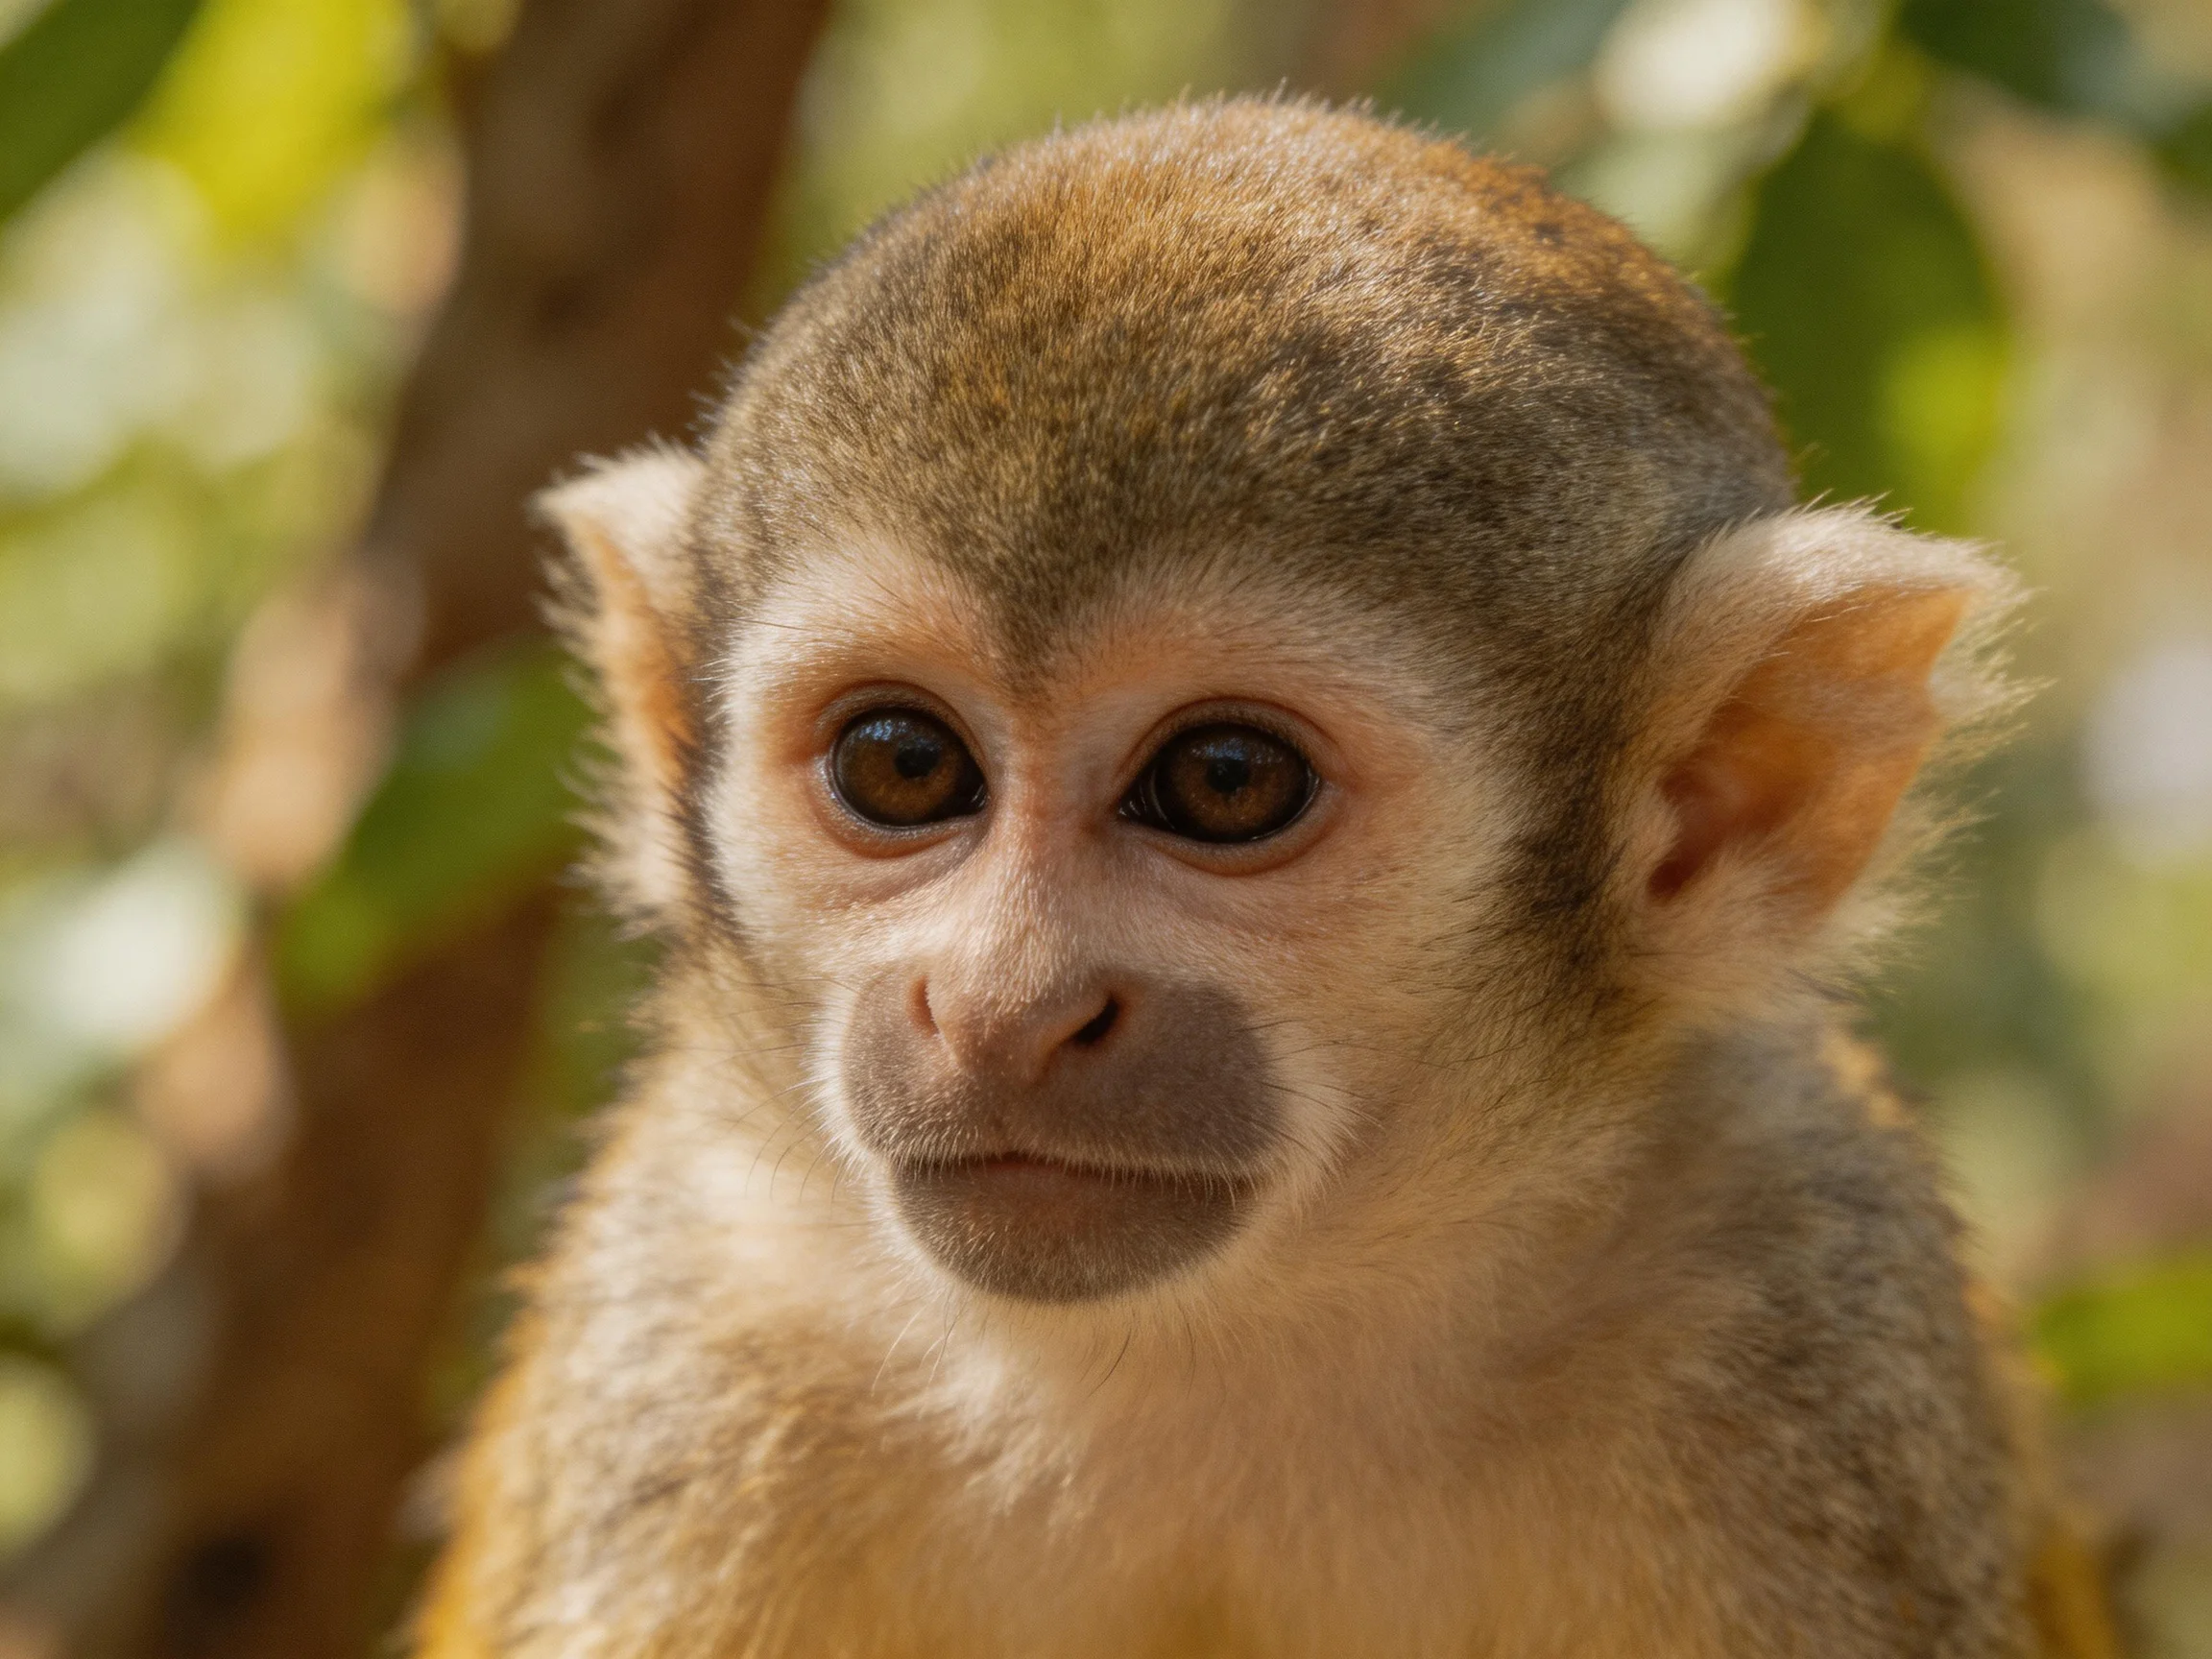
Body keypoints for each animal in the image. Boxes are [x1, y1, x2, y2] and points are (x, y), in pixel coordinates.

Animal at [414, 99, 2117, 1658]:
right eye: (903, 766)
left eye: (1224, 783)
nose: (1001, 1007)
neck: (1208, 1345)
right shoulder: (696, 1323)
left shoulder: (1810, 1327)